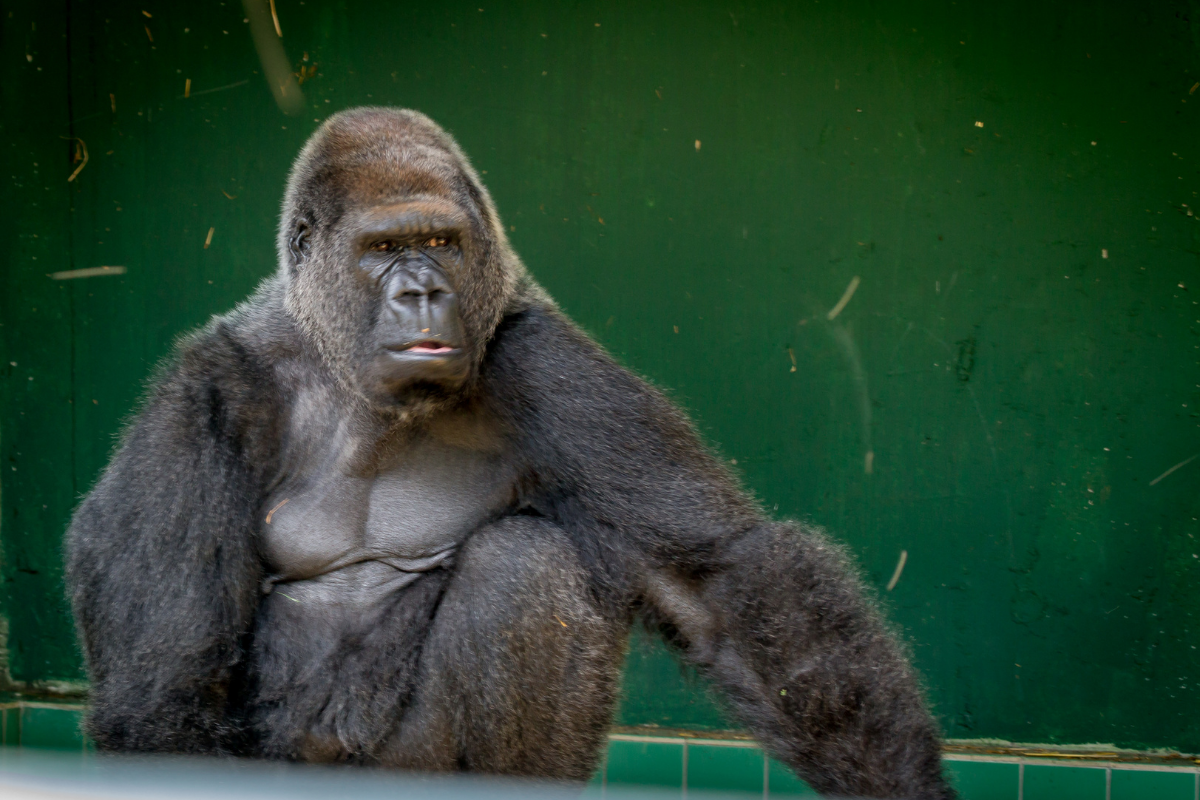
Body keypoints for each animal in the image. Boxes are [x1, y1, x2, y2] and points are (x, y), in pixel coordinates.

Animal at [68, 107, 955, 800]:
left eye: (440, 241)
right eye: (382, 249)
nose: (422, 291)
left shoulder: (539, 359)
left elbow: (716, 581)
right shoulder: (205, 396)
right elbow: (165, 688)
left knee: (528, 566)